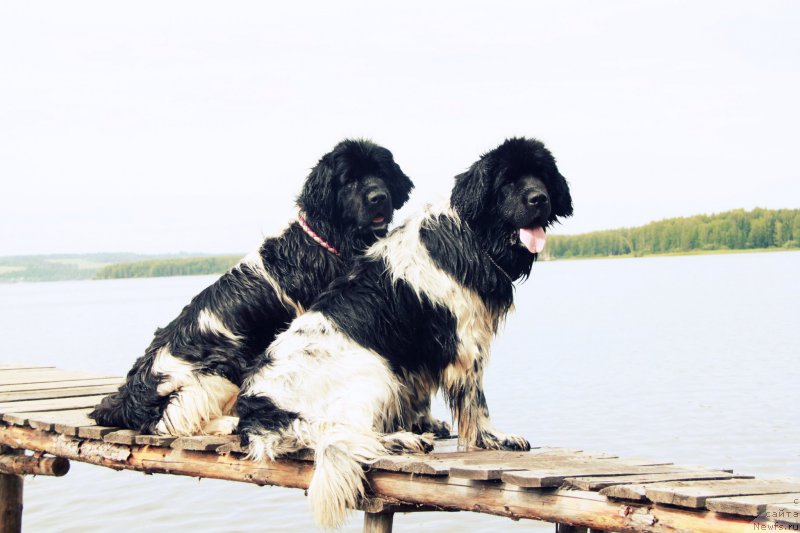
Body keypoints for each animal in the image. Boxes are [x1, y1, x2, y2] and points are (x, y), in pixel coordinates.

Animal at [90, 138, 416, 436]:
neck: (326, 239)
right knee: (176, 422)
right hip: (222, 363)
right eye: (349, 181)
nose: (378, 197)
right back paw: (230, 423)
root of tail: (128, 397)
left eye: (381, 172)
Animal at [234, 138, 572, 528]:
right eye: (508, 182)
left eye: (541, 175)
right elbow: (476, 402)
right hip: (375, 371)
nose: (538, 198)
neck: (471, 235)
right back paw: (402, 441)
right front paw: (493, 438)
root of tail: (261, 407)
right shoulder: (463, 342)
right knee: (348, 433)